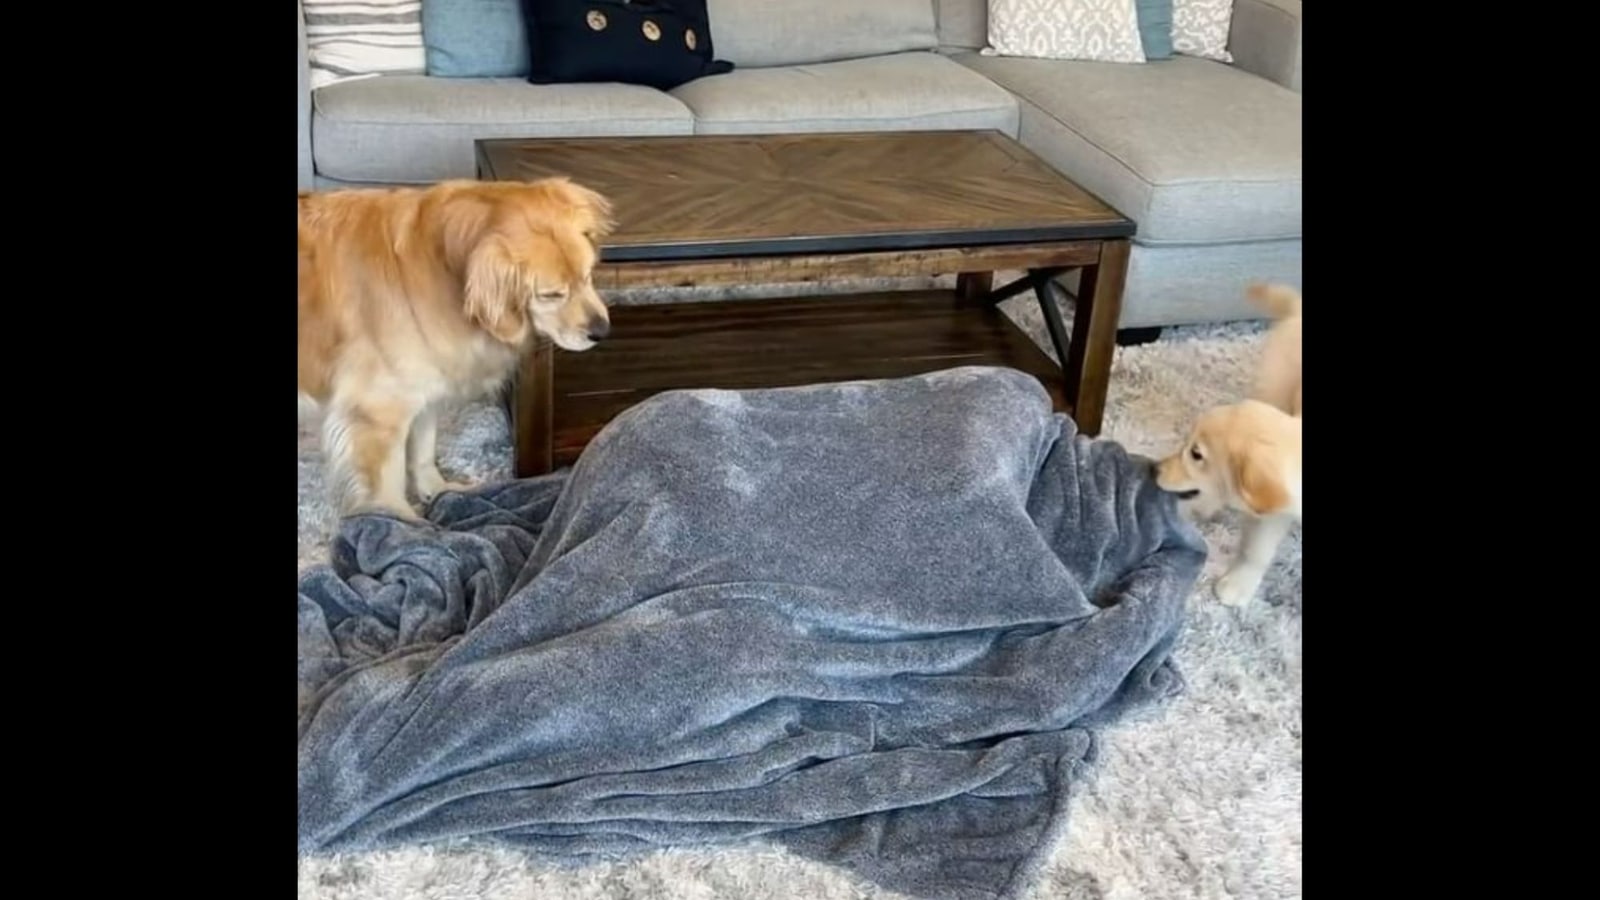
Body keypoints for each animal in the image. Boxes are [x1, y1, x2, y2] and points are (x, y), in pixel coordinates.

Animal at [297, 176, 614, 518]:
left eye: (588, 275)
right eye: (551, 295)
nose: (602, 331)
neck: (440, 266)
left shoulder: (424, 387)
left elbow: (423, 451)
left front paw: (437, 491)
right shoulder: (378, 412)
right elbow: (387, 488)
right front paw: (404, 523)